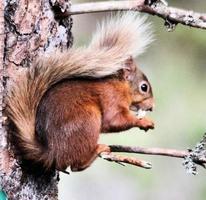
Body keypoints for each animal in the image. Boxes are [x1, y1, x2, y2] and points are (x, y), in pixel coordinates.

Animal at [6, 12, 154, 172]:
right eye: (144, 87)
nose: (152, 107)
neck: (120, 86)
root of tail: (53, 152)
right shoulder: (112, 98)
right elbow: (114, 120)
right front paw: (145, 122)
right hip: (87, 120)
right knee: (77, 165)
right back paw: (98, 150)